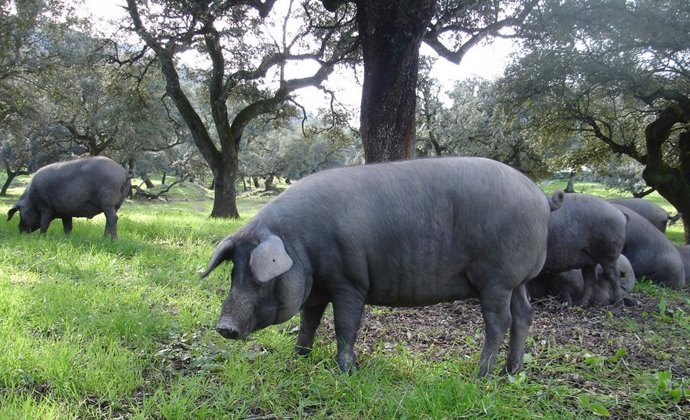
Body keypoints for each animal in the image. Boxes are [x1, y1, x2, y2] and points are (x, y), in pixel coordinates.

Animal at [202, 157, 560, 378]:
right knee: (524, 315)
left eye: (259, 278)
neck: (300, 244)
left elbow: (345, 326)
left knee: (499, 321)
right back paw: (511, 372)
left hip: (496, 279)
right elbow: (308, 322)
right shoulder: (316, 288)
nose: (224, 327)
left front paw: (348, 372)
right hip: (518, 281)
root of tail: (541, 198)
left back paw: (480, 375)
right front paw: (298, 358)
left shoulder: (349, 282)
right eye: (233, 272)